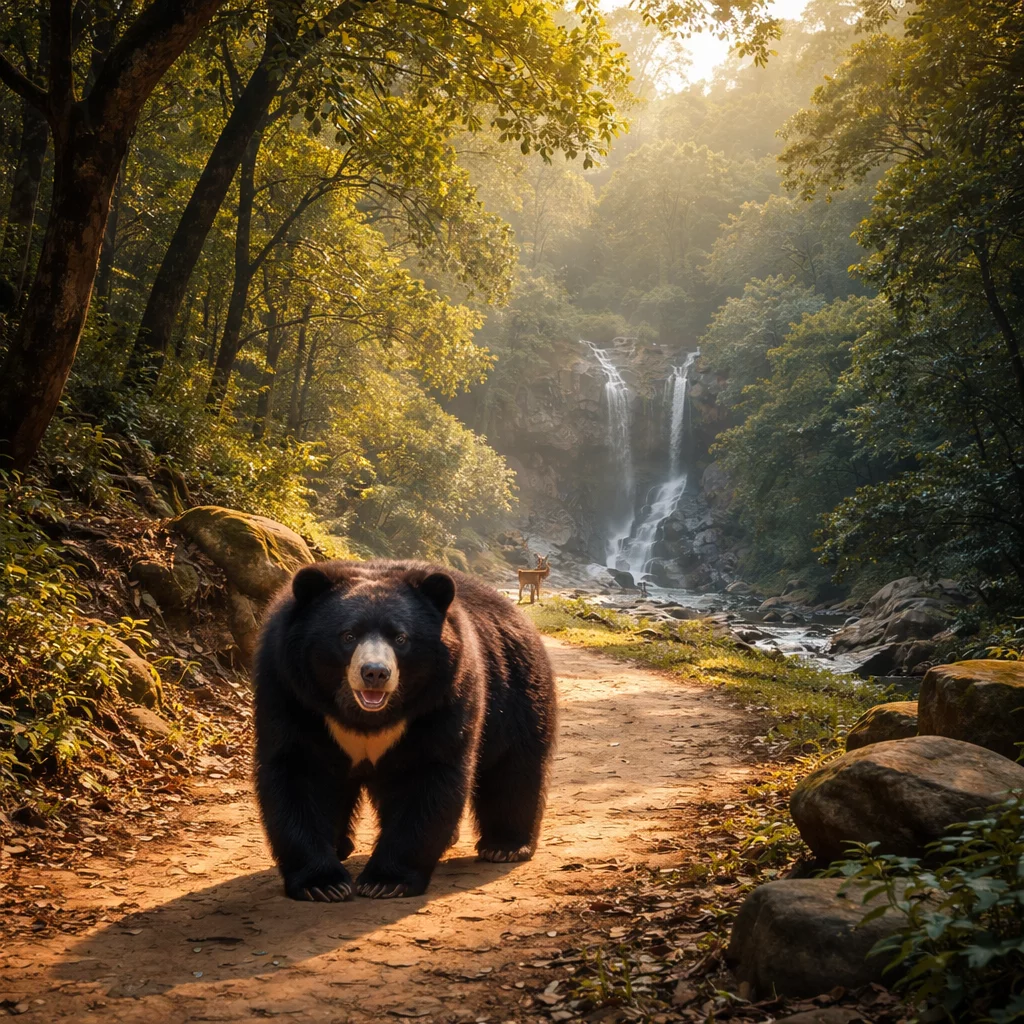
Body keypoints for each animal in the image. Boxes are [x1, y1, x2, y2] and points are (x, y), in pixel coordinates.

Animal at [253, 559, 557, 901]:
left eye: (400, 638)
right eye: (348, 635)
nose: (375, 673)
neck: (365, 716)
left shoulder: (442, 696)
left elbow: (426, 774)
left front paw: (385, 881)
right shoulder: (291, 692)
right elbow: (298, 770)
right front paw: (323, 884)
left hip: (516, 692)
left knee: (513, 768)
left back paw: (505, 847)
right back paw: (342, 847)